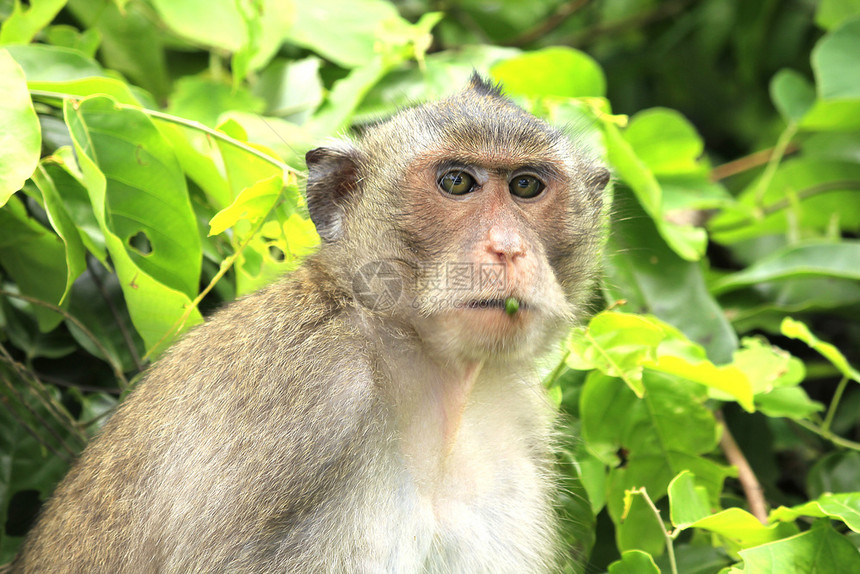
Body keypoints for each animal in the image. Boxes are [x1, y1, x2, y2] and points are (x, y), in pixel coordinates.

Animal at [10, 76, 608, 574]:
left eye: (526, 187)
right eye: (457, 182)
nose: (508, 248)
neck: (426, 364)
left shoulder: (523, 434)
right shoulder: (301, 392)